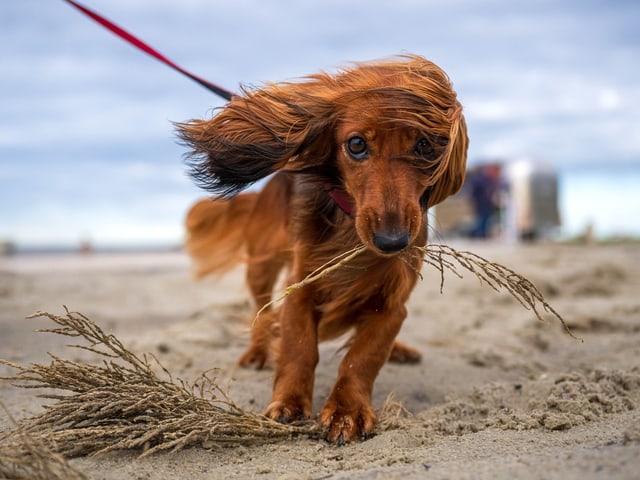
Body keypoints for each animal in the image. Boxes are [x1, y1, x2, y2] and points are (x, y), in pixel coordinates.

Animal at [178, 54, 468, 444]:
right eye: (356, 144)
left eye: (425, 146)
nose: (392, 242)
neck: (351, 232)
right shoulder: (300, 289)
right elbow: (299, 348)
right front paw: (289, 402)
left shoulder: (393, 305)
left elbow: (362, 358)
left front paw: (347, 410)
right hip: (262, 266)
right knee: (261, 312)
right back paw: (257, 351)